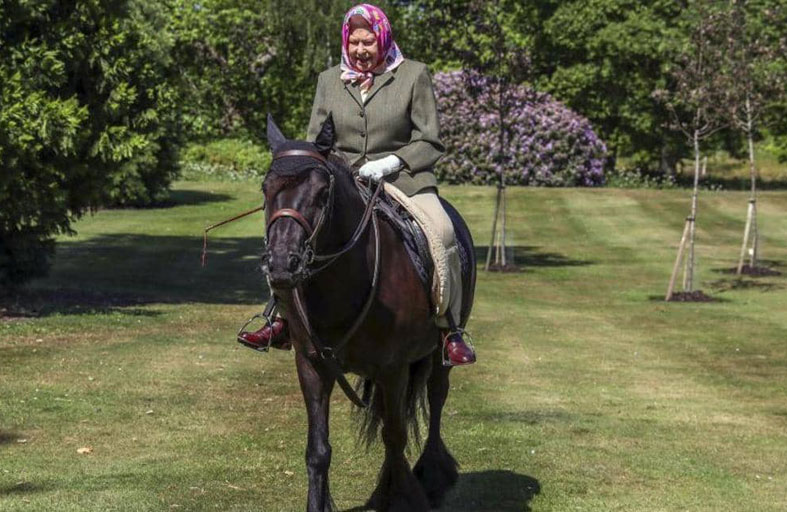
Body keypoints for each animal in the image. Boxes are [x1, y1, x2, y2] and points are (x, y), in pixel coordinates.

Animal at [261, 114, 476, 512]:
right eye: (265, 189)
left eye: (322, 192)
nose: (282, 264)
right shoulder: (312, 365)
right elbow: (318, 450)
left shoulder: (393, 369)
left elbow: (395, 437)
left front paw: (404, 496)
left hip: (438, 353)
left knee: (436, 398)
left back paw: (433, 475)